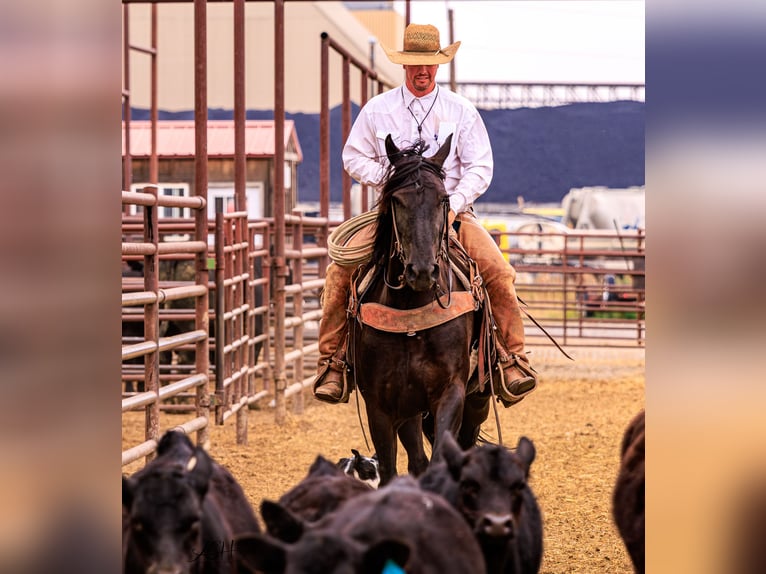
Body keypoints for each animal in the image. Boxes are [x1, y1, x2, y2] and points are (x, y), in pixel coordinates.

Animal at [348, 134, 491, 485]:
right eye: (398, 201)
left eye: (443, 200)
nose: (423, 271)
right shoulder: (380, 404)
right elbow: (390, 467)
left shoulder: (450, 393)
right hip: (409, 408)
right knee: (416, 458)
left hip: (476, 400)